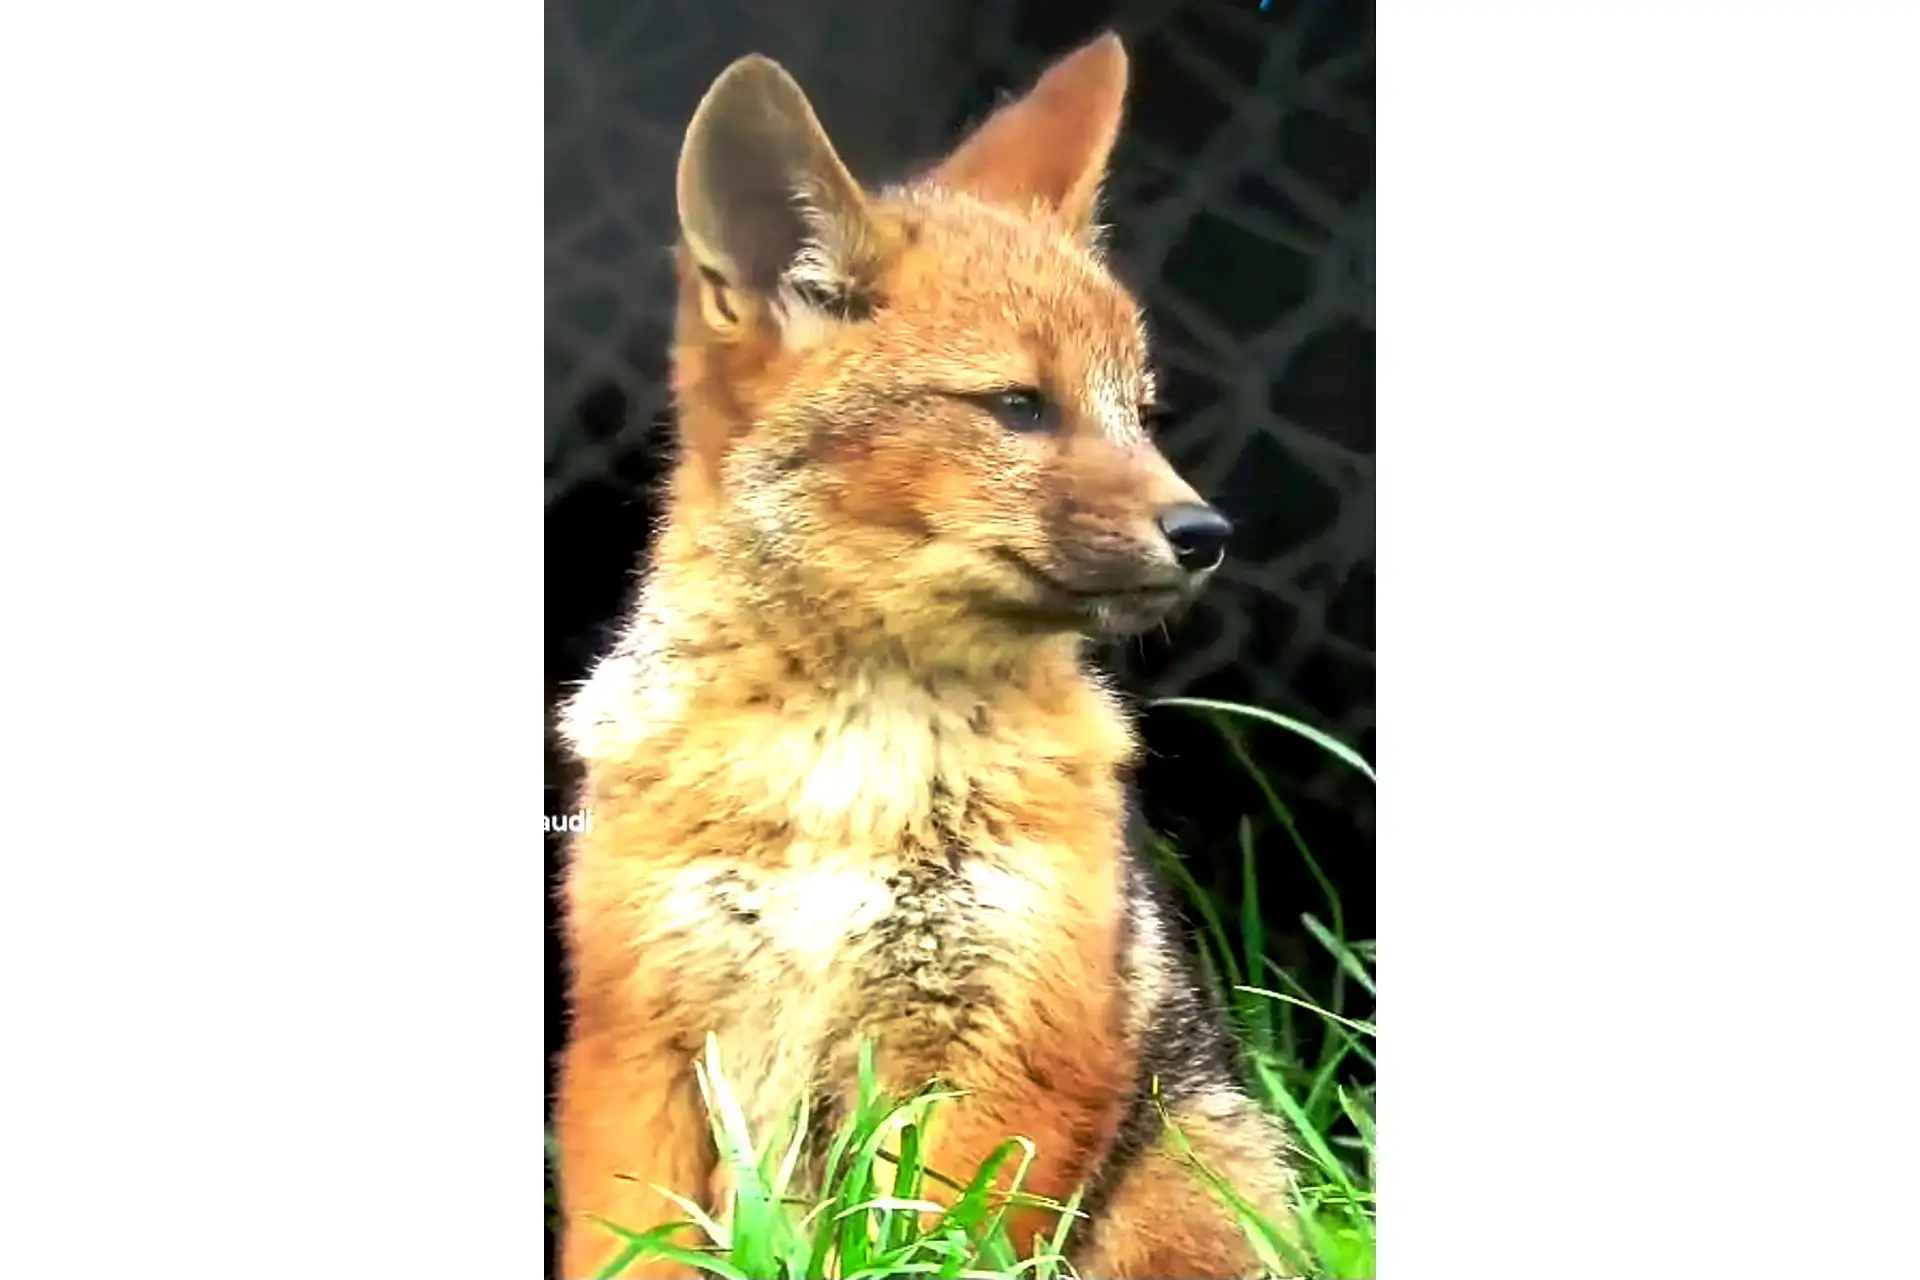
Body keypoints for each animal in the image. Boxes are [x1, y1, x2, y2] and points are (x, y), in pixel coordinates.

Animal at [554, 31, 1298, 1280]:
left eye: (1140, 411)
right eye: (1019, 405)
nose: (1206, 533)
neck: (850, 764)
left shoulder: (1014, 1044)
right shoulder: (635, 1034)